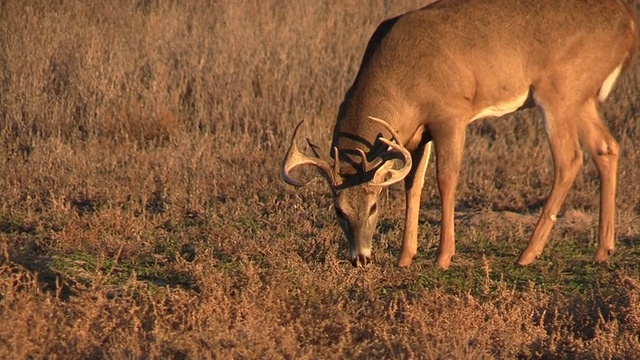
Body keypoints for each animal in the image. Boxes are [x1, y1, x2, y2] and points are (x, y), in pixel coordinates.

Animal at [282, 0, 636, 268]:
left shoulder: (450, 114)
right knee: (607, 147)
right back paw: (603, 250)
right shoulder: (415, 136)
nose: (361, 258)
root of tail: (629, 23)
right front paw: (405, 257)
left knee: (569, 160)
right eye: (339, 211)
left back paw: (527, 254)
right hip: (581, 98)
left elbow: (446, 179)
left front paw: (442, 257)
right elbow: (413, 185)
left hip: (558, 91)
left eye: (372, 207)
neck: (401, 80)